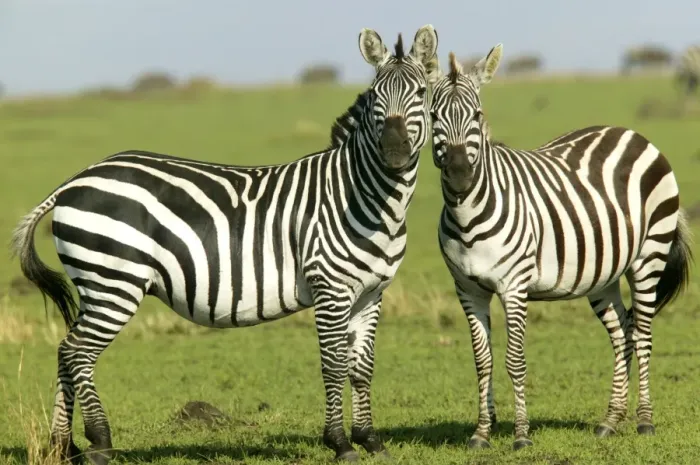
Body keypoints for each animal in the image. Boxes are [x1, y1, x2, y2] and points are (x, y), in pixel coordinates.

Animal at [10, 25, 440, 464]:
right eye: (375, 94)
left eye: (421, 92)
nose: (394, 151)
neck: (364, 197)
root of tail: (73, 182)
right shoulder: (330, 288)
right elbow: (334, 364)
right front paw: (340, 443)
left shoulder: (371, 293)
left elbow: (362, 366)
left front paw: (369, 438)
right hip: (114, 281)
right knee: (78, 352)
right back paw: (99, 442)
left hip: (97, 284)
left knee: (65, 350)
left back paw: (63, 445)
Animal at [429, 46, 693, 450]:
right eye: (432, 116)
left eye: (477, 115)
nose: (460, 176)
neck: (467, 216)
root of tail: (631, 133)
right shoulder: (467, 289)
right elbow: (483, 362)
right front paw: (481, 434)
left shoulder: (514, 286)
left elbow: (515, 360)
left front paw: (521, 436)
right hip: (604, 275)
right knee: (623, 335)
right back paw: (610, 421)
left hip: (649, 257)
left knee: (644, 335)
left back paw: (645, 421)